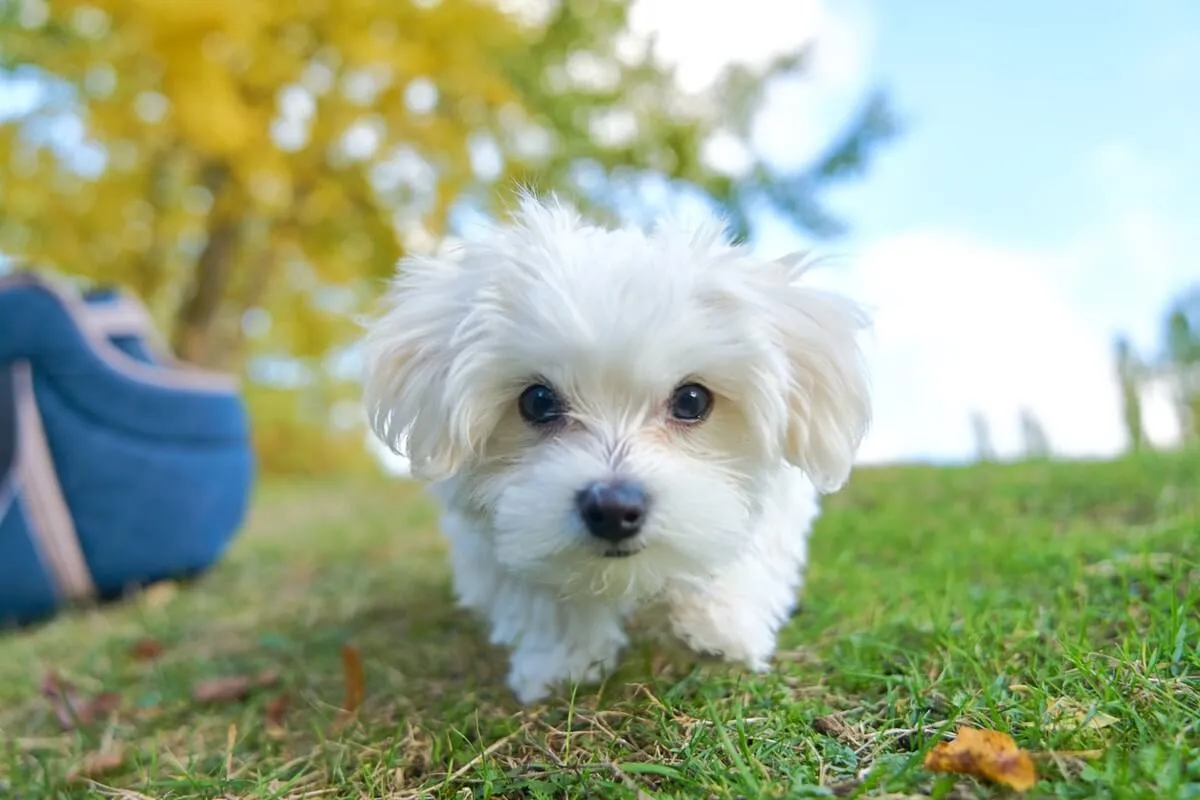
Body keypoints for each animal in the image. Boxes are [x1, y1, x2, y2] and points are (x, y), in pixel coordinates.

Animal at [357, 196, 873, 705]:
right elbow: (539, 588)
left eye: (692, 400)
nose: (613, 508)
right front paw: (562, 662)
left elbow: (748, 543)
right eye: (537, 401)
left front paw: (720, 628)